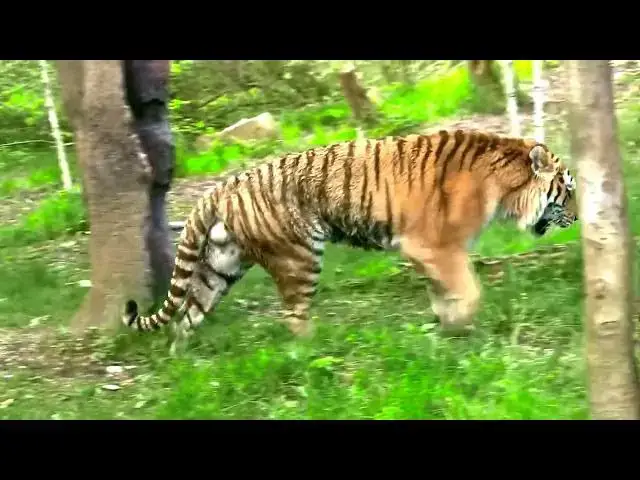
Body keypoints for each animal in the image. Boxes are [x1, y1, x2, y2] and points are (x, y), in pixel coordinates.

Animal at [122, 128, 578, 354]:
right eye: (568, 189)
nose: (576, 216)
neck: (504, 182)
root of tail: (220, 187)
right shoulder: (436, 247)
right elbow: (468, 290)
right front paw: (460, 326)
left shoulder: (430, 255)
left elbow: (443, 293)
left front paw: (447, 328)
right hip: (300, 257)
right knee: (292, 316)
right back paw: (316, 350)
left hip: (220, 266)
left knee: (185, 317)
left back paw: (185, 365)